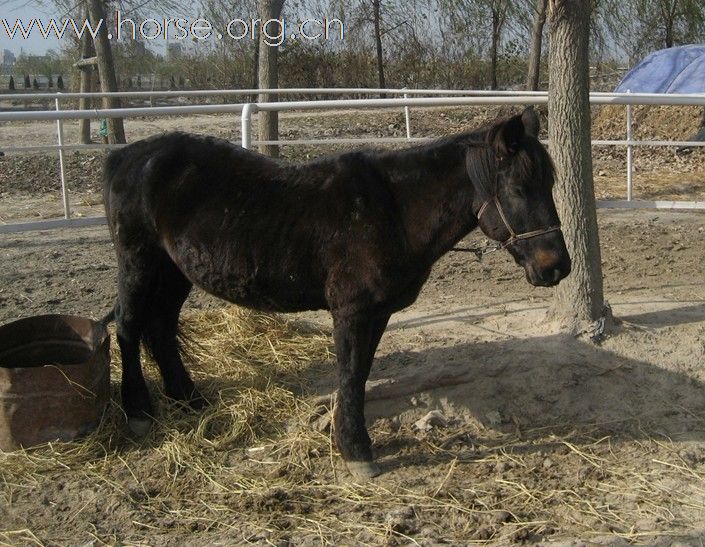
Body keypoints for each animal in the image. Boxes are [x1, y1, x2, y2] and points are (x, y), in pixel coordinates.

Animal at [103, 107, 568, 480]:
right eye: (519, 189)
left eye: (548, 184)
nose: (557, 267)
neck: (394, 210)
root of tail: (124, 157)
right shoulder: (352, 311)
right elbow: (349, 374)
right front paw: (356, 451)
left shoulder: (377, 313)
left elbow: (359, 376)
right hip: (139, 260)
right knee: (128, 327)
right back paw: (139, 412)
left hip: (174, 270)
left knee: (161, 327)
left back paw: (189, 400)